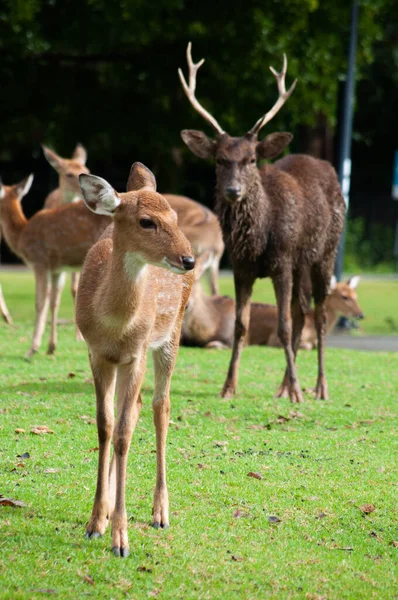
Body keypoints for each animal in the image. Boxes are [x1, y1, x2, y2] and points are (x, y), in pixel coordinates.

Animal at [0, 172, 110, 356]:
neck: (21, 235)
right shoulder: (57, 269)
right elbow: (54, 302)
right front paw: (51, 347)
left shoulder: (40, 262)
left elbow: (40, 303)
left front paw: (32, 349)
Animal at [76, 162, 194, 556]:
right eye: (146, 222)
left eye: (174, 216)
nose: (189, 259)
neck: (114, 325)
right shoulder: (97, 354)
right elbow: (105, 426)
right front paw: (96, 522)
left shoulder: (137, 352)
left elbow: (125, 432)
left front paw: (121, 539)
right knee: (137, 407)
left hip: (171, 335)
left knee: (161, 406)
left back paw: (161, 513)